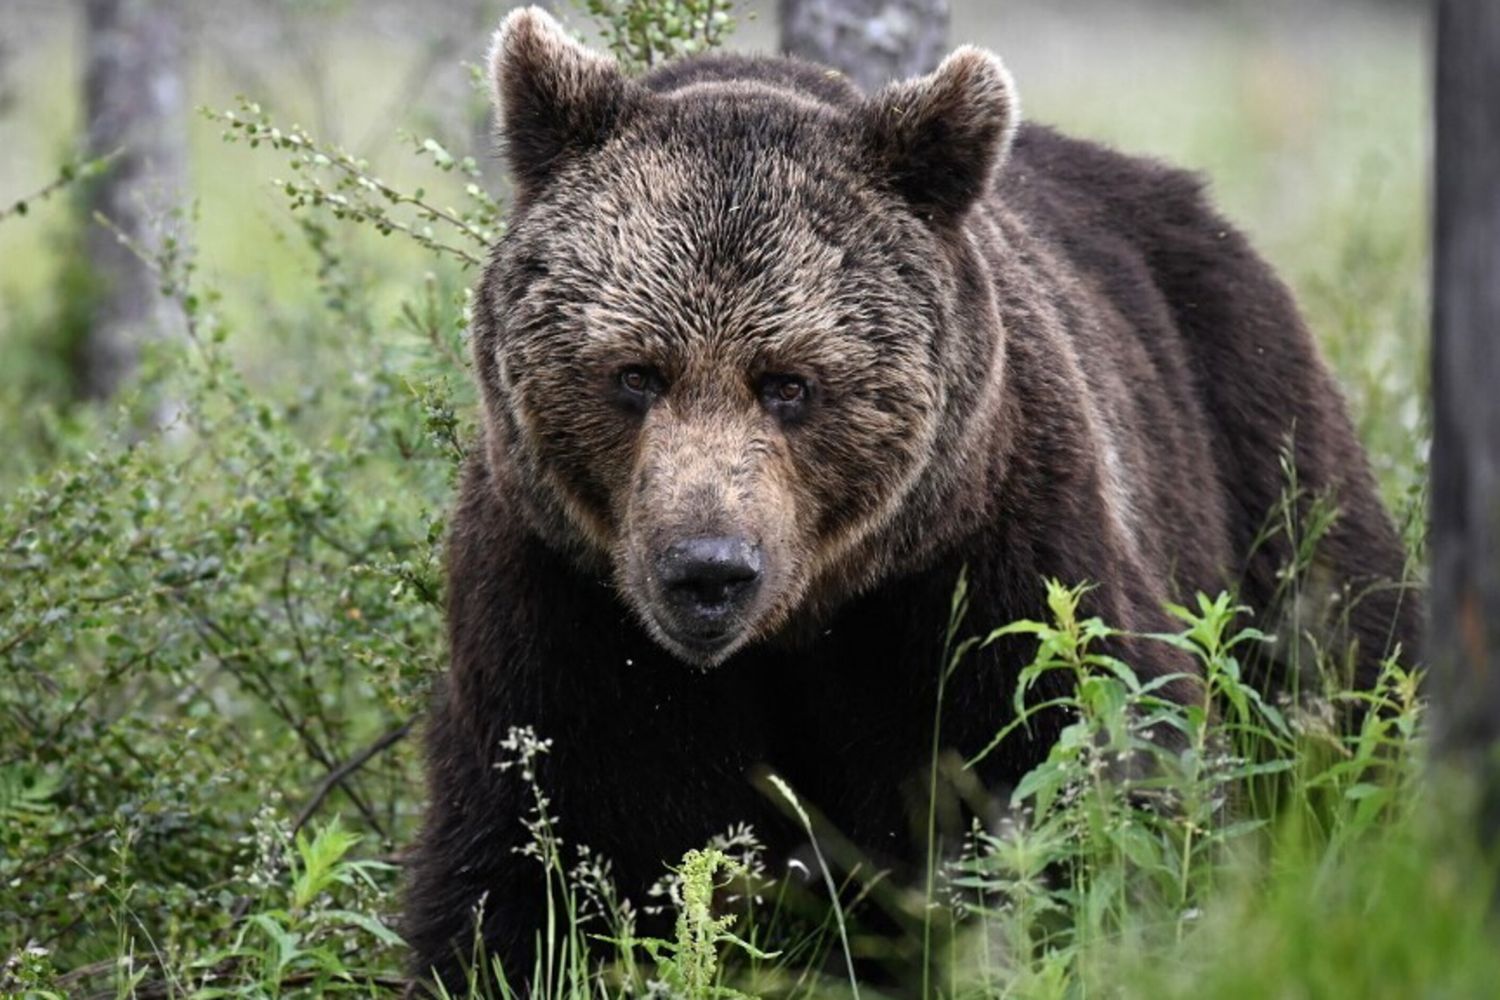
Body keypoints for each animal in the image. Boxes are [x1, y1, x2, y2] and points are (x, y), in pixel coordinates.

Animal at [404, 6, 1420, 992]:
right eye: (635, 373)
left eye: (790, 383)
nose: (707, 570)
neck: (798, 627)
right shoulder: (565, 607)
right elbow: (534, 851)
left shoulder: (982, 570)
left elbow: (1076, 777)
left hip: (1255, 437)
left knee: (1341, 654)